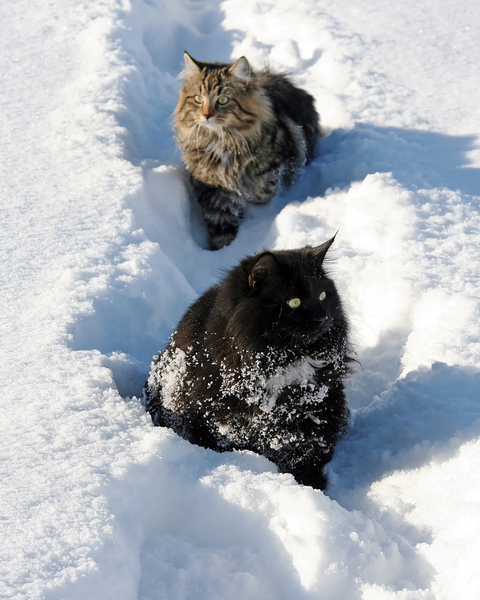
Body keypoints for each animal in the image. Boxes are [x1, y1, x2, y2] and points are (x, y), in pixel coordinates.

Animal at [144, 237, 350, 490]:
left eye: (322, 296)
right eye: (294, 302)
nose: (323, 318)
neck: (285, 360)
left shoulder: (318, 409)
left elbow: (307, 453)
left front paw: (312, 486)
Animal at [174, 51, 320, 248]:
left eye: (223, 100)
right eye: (198, 99)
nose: (206, 115)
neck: (221, 141)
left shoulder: (284, 161)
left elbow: (265, 190)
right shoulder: (212, 189)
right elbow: (221, 227)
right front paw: (224, 249)